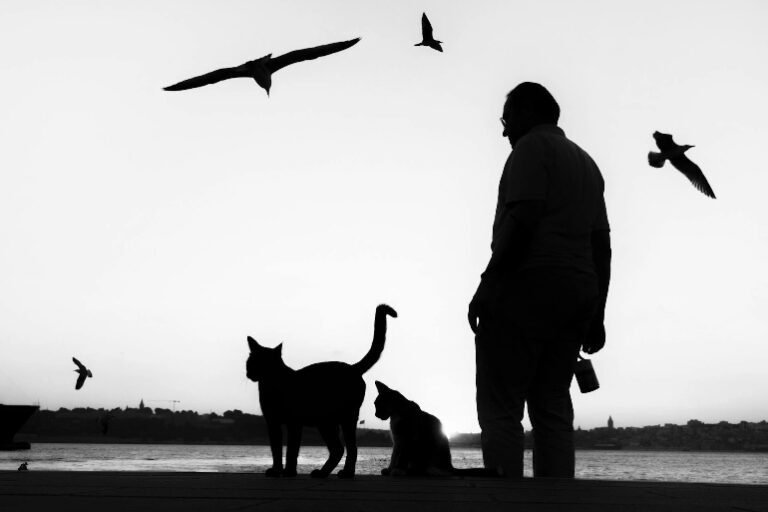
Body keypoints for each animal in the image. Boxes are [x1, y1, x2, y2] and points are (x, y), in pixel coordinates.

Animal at [249, 302, 400, 478]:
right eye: (251, 361)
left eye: (256, 362)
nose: (249, 372)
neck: (271, 384)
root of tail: (353, 368)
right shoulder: (272, 422)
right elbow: (276, 449)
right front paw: (276, 470)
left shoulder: (294, 423)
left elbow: (292, 449)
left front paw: (289, 472)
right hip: (330, 422)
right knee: (340, 449)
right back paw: (324, 472)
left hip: (338, 420)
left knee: (349, 448)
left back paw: (344, 473)